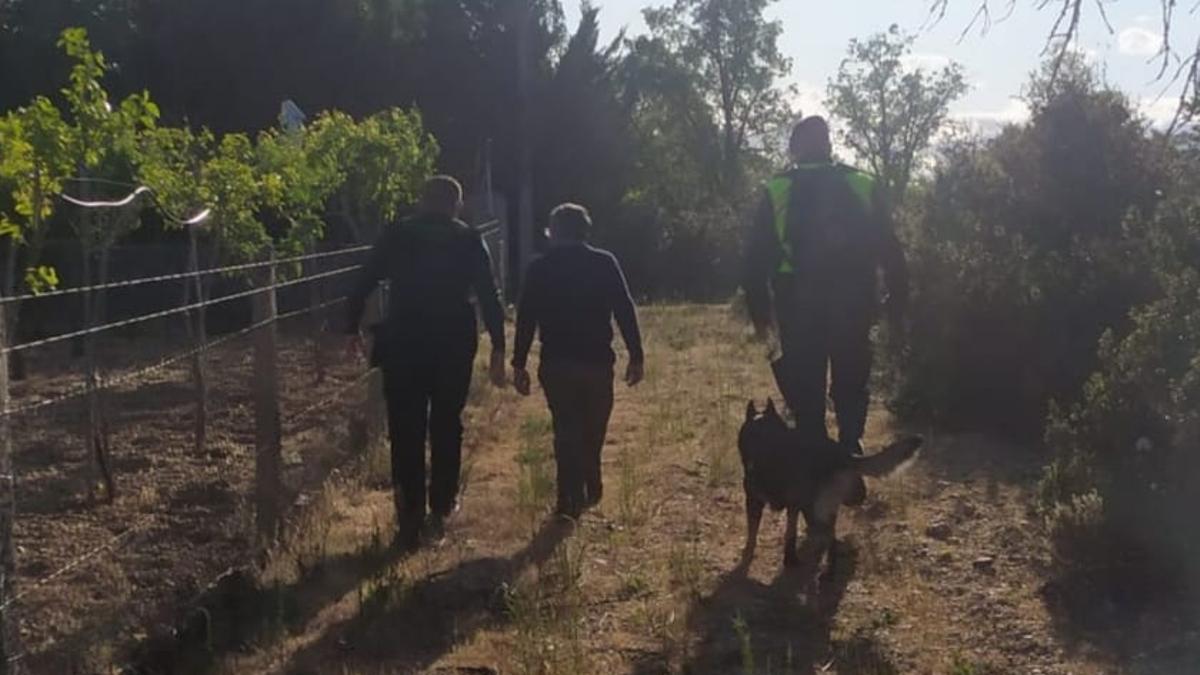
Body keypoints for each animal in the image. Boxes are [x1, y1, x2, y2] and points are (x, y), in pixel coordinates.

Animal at [734, 396, 921, 569]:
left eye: (767, 435)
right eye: (752, 435)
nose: (754, 459)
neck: (772, 458)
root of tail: (841, 453)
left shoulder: (791, 506)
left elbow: (790, 533)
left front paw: (790, 558)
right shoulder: (755, 503)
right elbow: (753, 534)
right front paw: (749, 554)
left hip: (821, 506)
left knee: (830, 537)